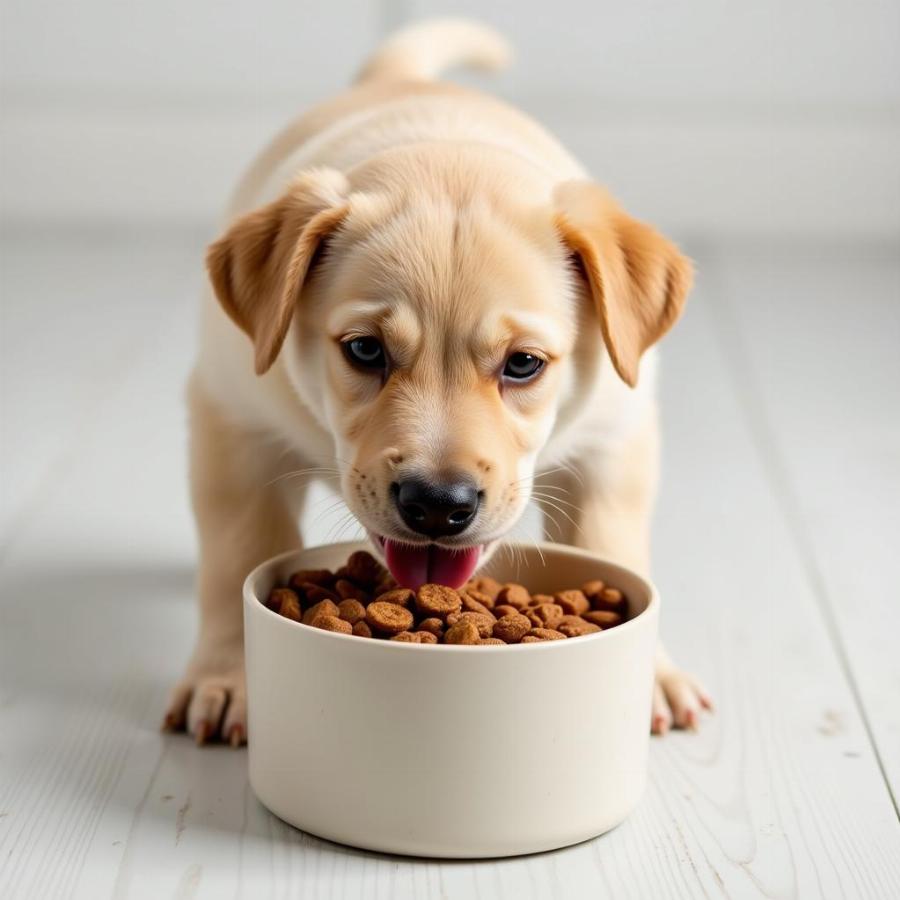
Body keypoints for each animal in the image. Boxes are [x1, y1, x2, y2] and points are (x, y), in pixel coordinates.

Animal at [167, 17, 712, 744]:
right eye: (365, 350)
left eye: (523, 364)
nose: (435, 506)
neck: (443, 148)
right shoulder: (235, 424)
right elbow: (238, 552)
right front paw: (230, 676)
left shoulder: (614, 438)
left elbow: (611, 540)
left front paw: (651, 674)